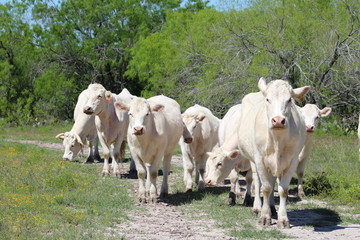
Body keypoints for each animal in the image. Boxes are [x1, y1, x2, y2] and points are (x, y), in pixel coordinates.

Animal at [238, 78, 310, 228]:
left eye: (289, 100)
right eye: (267, 99)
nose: (278, 121)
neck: (277, 139)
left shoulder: (292, 161)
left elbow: (283, 189)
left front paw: (283, 218)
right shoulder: (260, 159)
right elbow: (265, 188)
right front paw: (265, 216)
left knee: (272, 182)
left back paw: (272, 208)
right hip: (254, 161)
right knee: (258, 182)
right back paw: (258, 208)